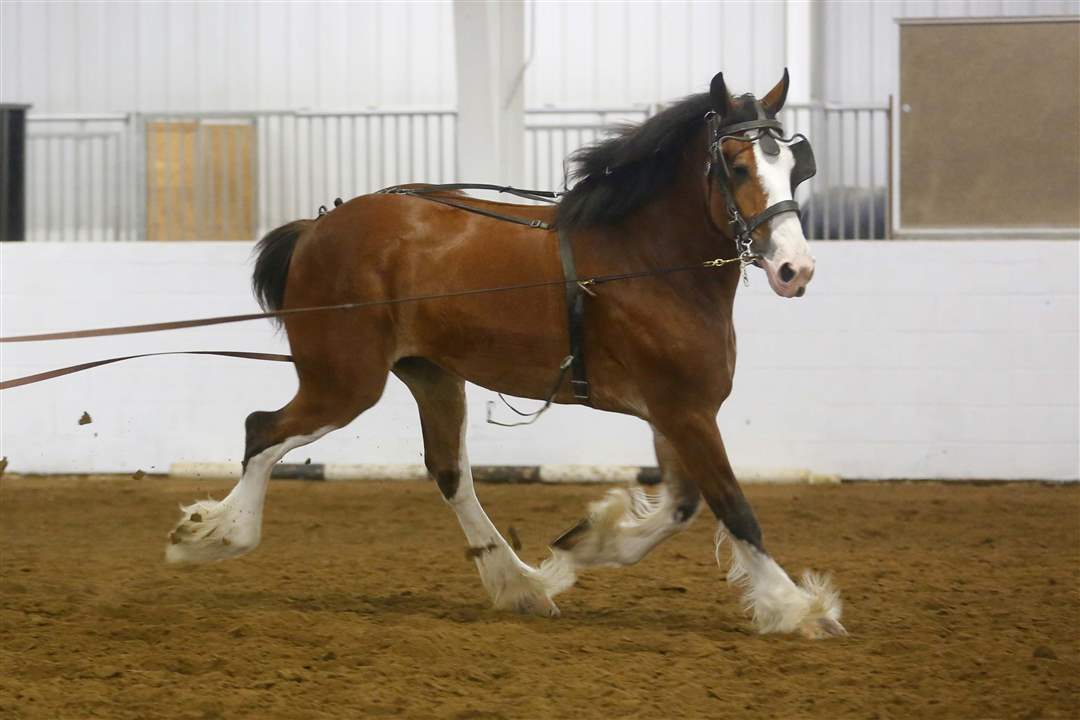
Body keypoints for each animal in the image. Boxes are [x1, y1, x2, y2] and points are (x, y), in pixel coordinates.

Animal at [164, 70, 846, 639]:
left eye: (795, 164)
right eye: (735, 165)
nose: (796, 269)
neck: (648, 261)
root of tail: (317, 226)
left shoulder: (673, 413)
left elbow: (682, 506)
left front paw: (585, 544)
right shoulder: (686, 412)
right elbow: (734, 507)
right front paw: (796, 608)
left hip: (431, 375)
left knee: (450, 474)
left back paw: (520, 585)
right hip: (344, 380)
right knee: (264, 431)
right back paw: (214, 535)